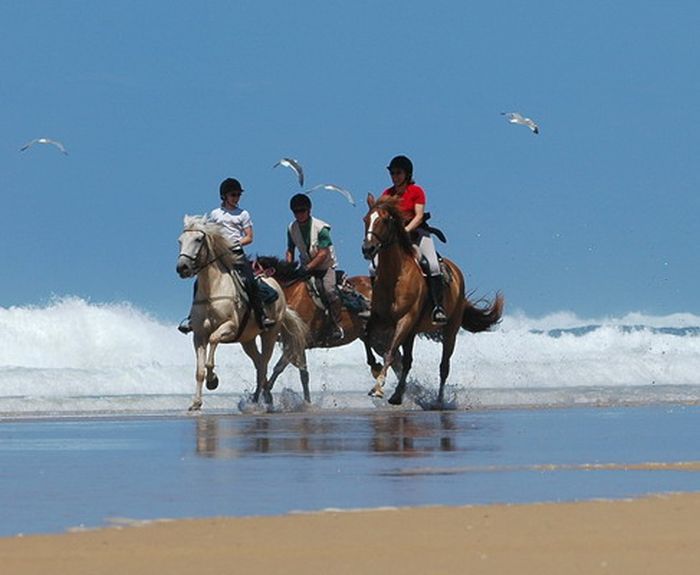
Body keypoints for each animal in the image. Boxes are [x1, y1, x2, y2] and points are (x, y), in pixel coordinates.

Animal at [175, 214, 306, 412]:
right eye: (180, 241)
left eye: (198, 239)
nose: (182, 267)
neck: (213, 290)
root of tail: (276, 284)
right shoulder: (198, 335)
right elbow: (199, 371)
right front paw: (196, 403)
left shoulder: (229, 327)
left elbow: (212, 346)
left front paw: (213, 381)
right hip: (247, 340)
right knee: (259, 364)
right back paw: (264, 397)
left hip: (269, 334)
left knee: (264, 363)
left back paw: (264, 401)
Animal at [256, 256, 400, 404]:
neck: (291, 294)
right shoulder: (298, 343)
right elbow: (302, 374)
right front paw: (306, 402)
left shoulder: (296, 342)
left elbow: (281, 368)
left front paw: (266, 393)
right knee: (395, 361)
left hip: (380, 337)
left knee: (394, 360)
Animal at [360, 196, 504, 408]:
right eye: (365, 219)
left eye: (384, 220)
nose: (367, 249)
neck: (395, 276)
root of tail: (456, 270)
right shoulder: (380, 319)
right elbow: (367, 337)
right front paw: (375, 368)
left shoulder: (405, 320)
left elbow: (390, 352)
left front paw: (378, 387)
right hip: (413, 332)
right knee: (408, 362)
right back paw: (397, 395)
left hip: (450, 330)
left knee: (444, 366)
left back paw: (438, 401)